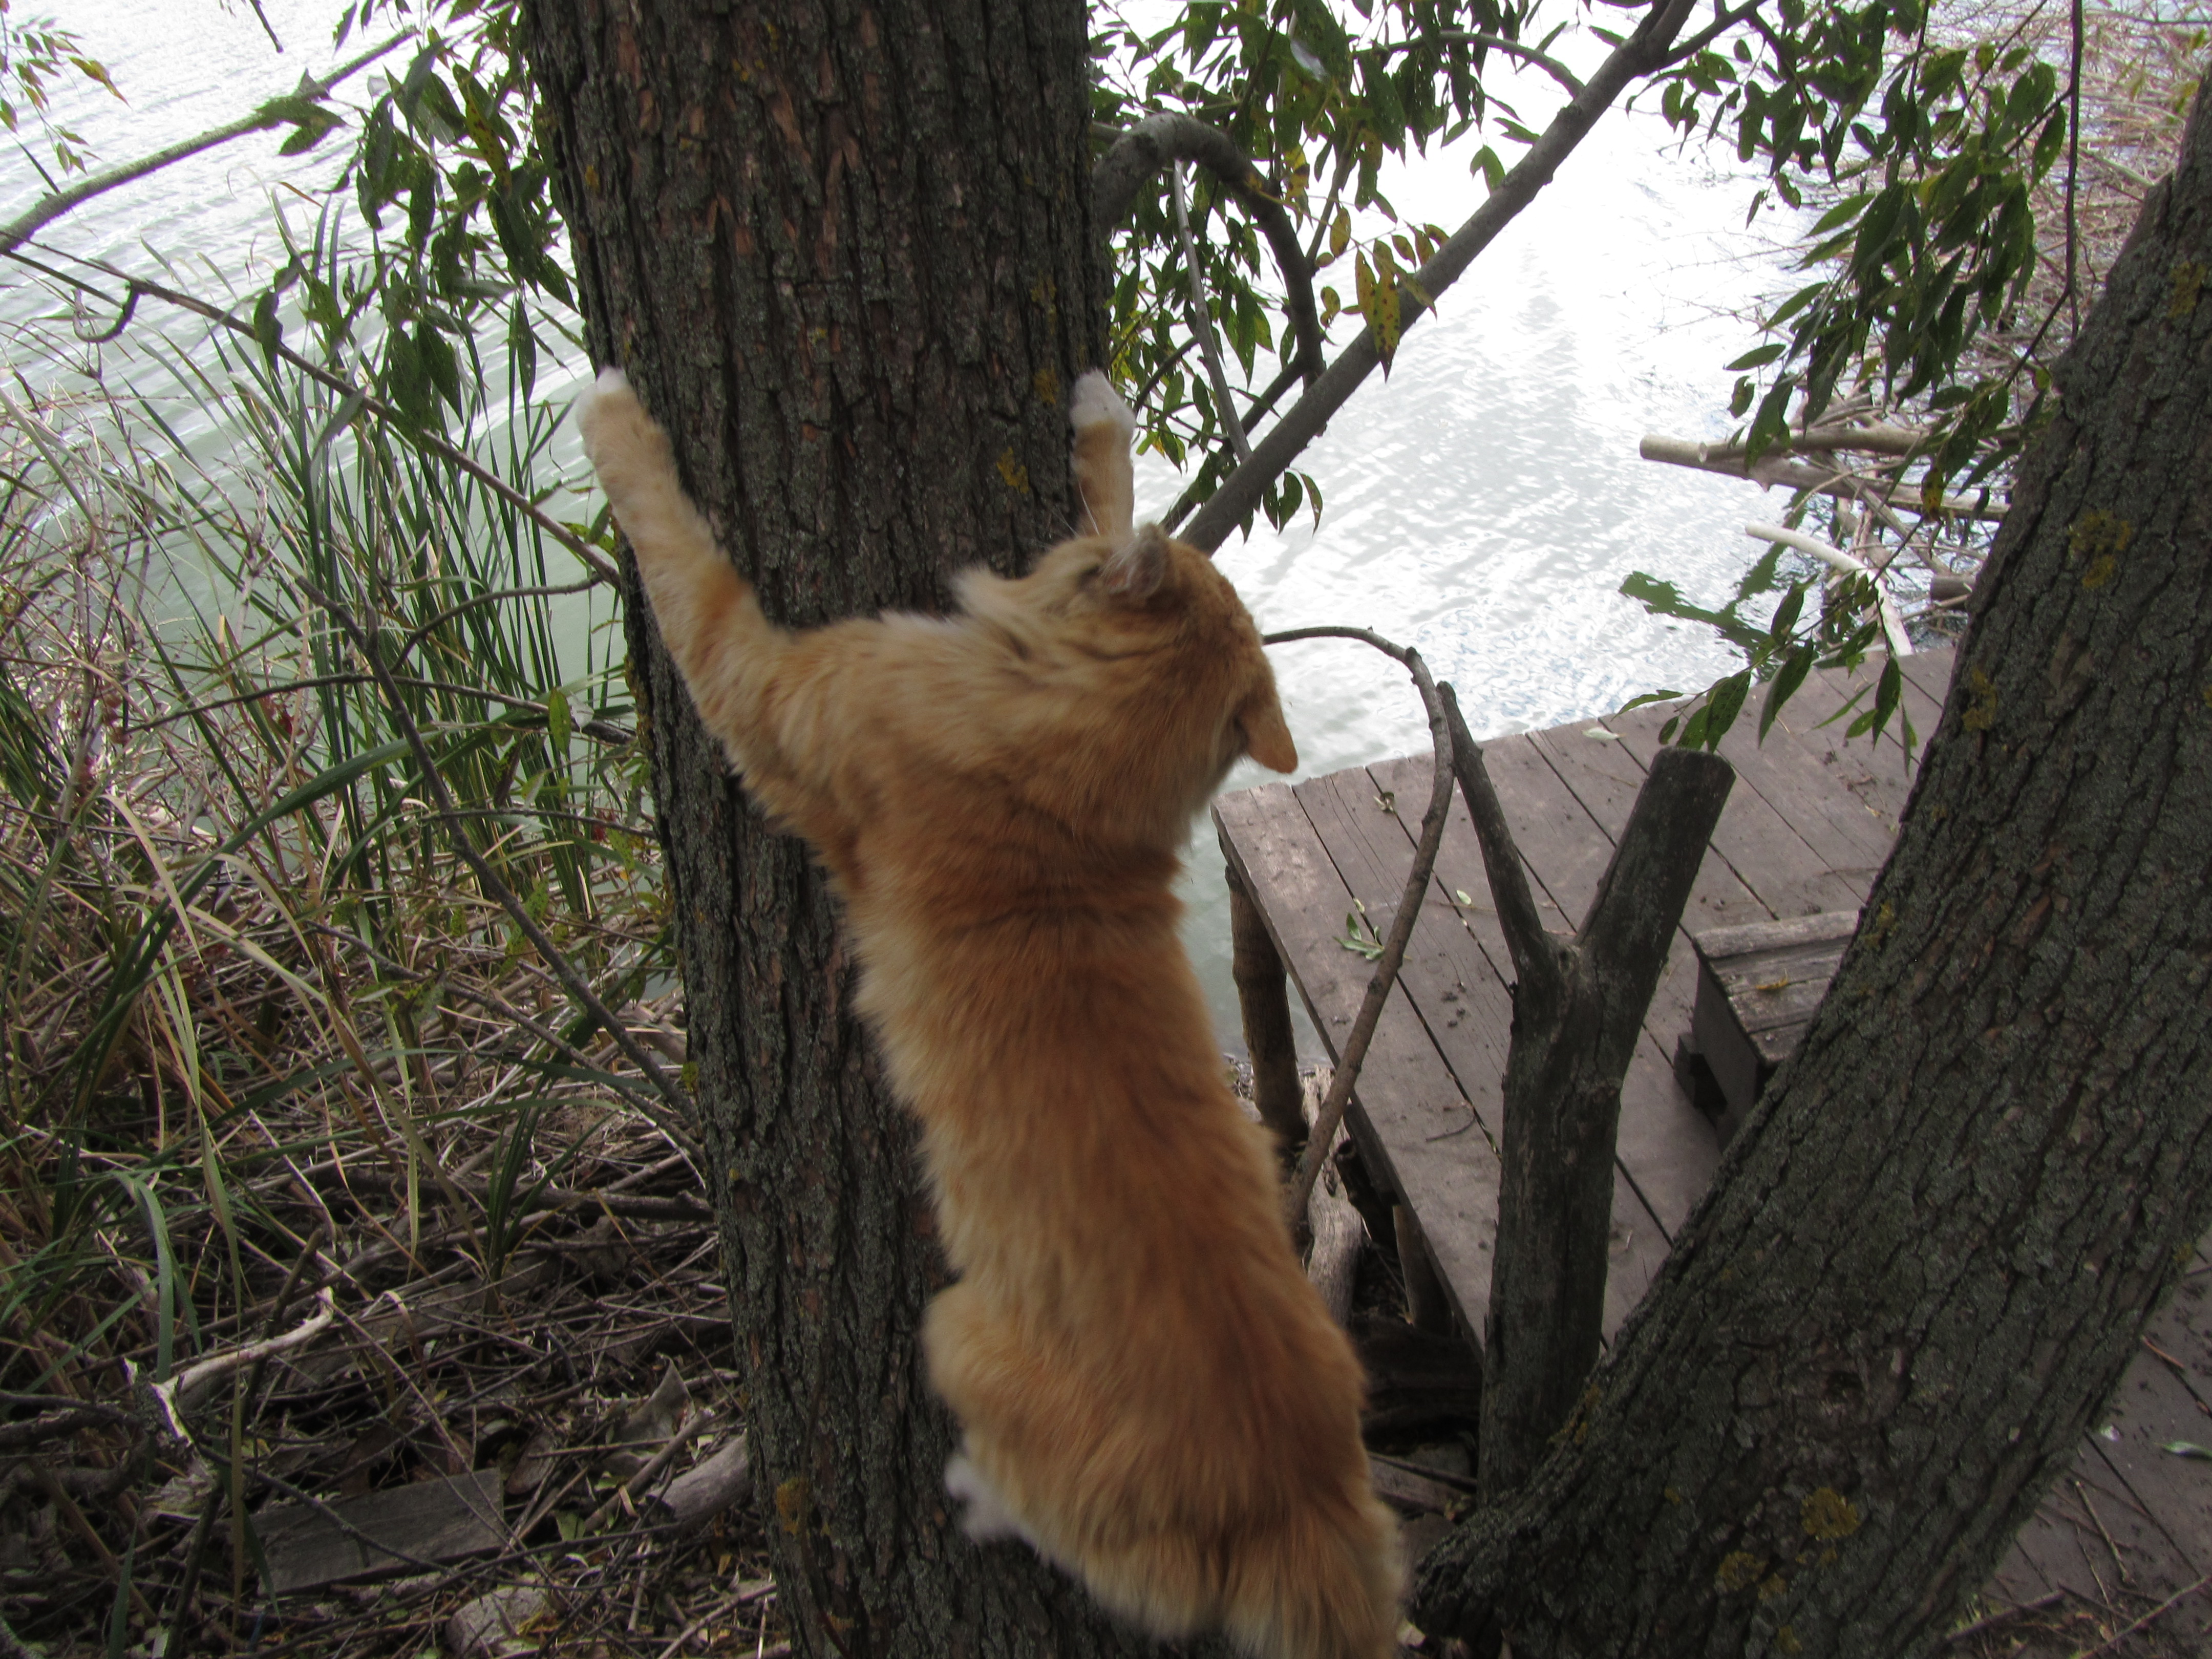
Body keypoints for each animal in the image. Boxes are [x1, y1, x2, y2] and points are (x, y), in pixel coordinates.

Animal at [570, 367, 1398, 1659]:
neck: (1064, 808)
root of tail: (1300, 1496)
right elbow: (1109, 489)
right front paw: (1100, 421)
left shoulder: (767, 688)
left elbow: (680, 554)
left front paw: (614, 421)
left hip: (953, 1334)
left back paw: (976, 1496)